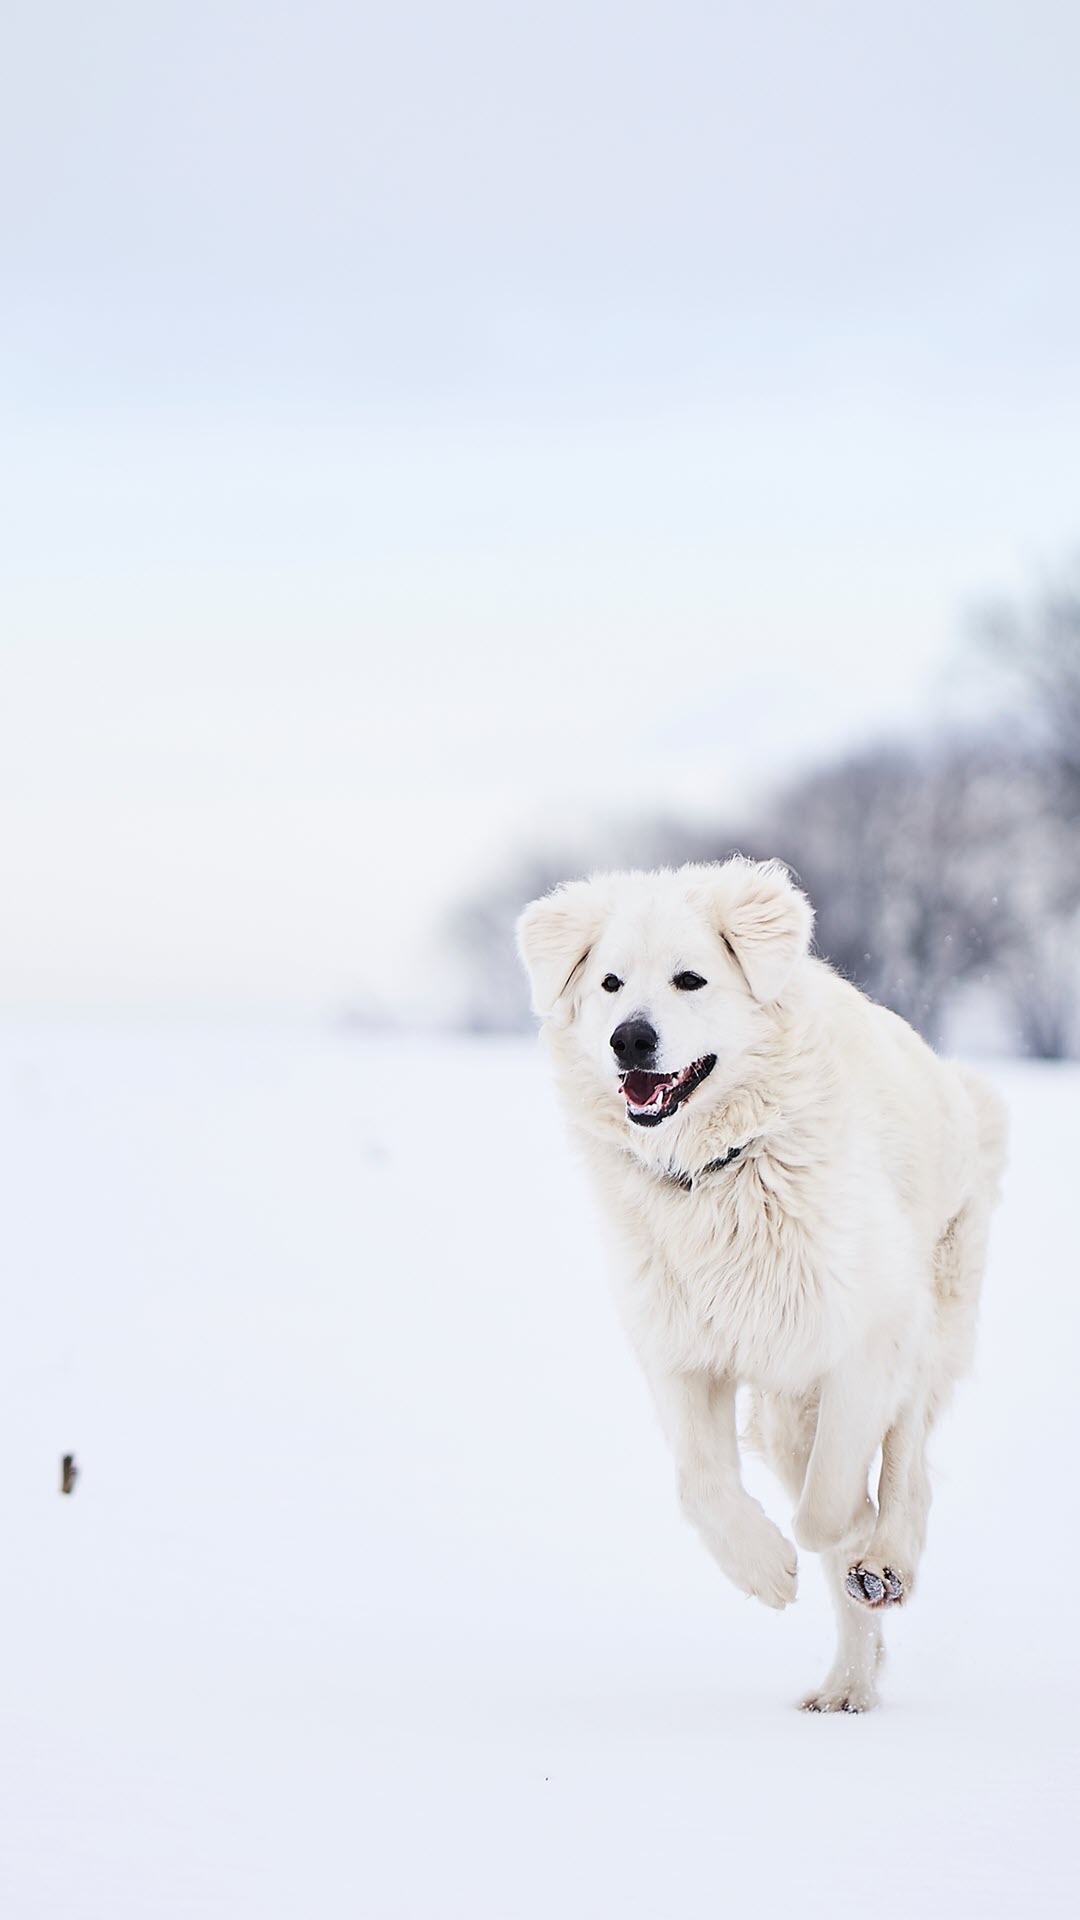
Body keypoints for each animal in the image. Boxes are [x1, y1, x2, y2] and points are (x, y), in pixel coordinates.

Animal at [511, 856, 999, 1712]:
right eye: (609, 983)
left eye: (690, 979)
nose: (629, 1037)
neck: (719, 1172)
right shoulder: (681, 1351)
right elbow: (700, 1484)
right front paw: (765, 1570)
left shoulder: (867, 1332)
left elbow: (832, 1500)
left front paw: (835, 1539)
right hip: (782, 1408)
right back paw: (846, 1687)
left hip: (930, 1314)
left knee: (908, 1462)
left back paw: (884, 1564)